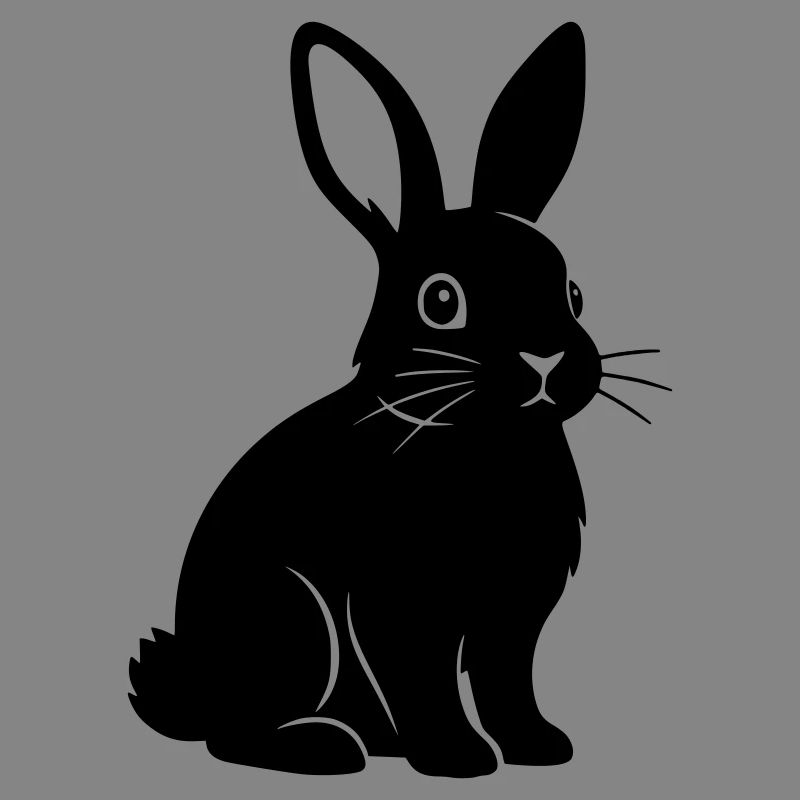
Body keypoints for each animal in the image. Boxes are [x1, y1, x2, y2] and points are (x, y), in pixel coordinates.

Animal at [128, 20, 668, 778]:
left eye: (574, 293)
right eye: (441, 300)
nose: (546, 360)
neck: (487, 442)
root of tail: (195, 688)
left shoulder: (514, 615)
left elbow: (509, 682)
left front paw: (539, 747)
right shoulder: (403, 605)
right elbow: (424, 678)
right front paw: (457, 759)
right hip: (291, 622)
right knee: (234, 735)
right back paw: (326, 747)